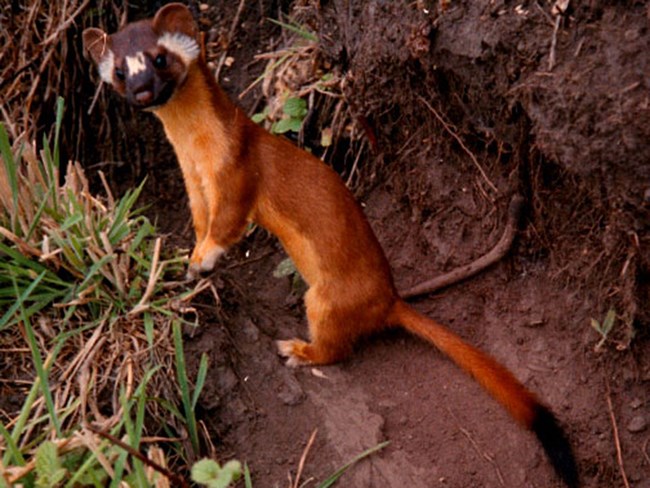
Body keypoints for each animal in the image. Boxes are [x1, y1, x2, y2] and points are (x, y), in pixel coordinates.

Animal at [82, 4, 576, 488]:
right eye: (119, 71)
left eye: (159, 58)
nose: (142, 91)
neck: (197, 155)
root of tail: (388, 299)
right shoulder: (195, 187)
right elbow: (202, 222)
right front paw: (188, 259)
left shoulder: (236, 172)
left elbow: (227, 225)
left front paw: (203, 261)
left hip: (322, 298)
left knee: (337, 348)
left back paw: (298, 350)